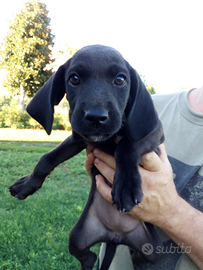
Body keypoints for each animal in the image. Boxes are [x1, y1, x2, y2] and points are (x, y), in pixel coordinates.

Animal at [9, 45, 165, 268]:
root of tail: (115, 236)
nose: (96, 118)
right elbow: (46, 159)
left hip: (153, 249)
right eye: (74, 78)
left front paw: (126, 186)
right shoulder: (78, 139)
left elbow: (127, 145)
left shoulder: (154, 132)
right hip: (78, 235)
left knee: (143, 256)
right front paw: (27, 185)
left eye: (120, 79)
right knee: (88, 256)